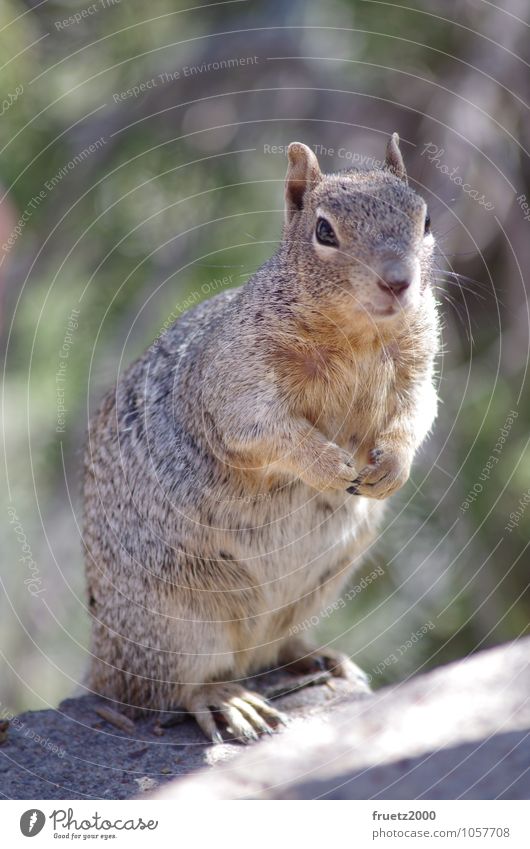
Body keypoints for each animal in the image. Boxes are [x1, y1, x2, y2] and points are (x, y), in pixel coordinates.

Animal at [83, 132, 438, 744]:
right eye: (324, 230)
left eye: (426, 218)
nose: (399, 281)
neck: (360, 337)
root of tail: (102, 662)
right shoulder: (235, 380)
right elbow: (263, 428)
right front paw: (327, 464)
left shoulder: (419, 365)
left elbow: (417, 412)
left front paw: (391, 467)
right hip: (178, 612)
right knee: (173, 686)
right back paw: (229, 700)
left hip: (322, 580)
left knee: (270, 649)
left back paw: (315, 658)